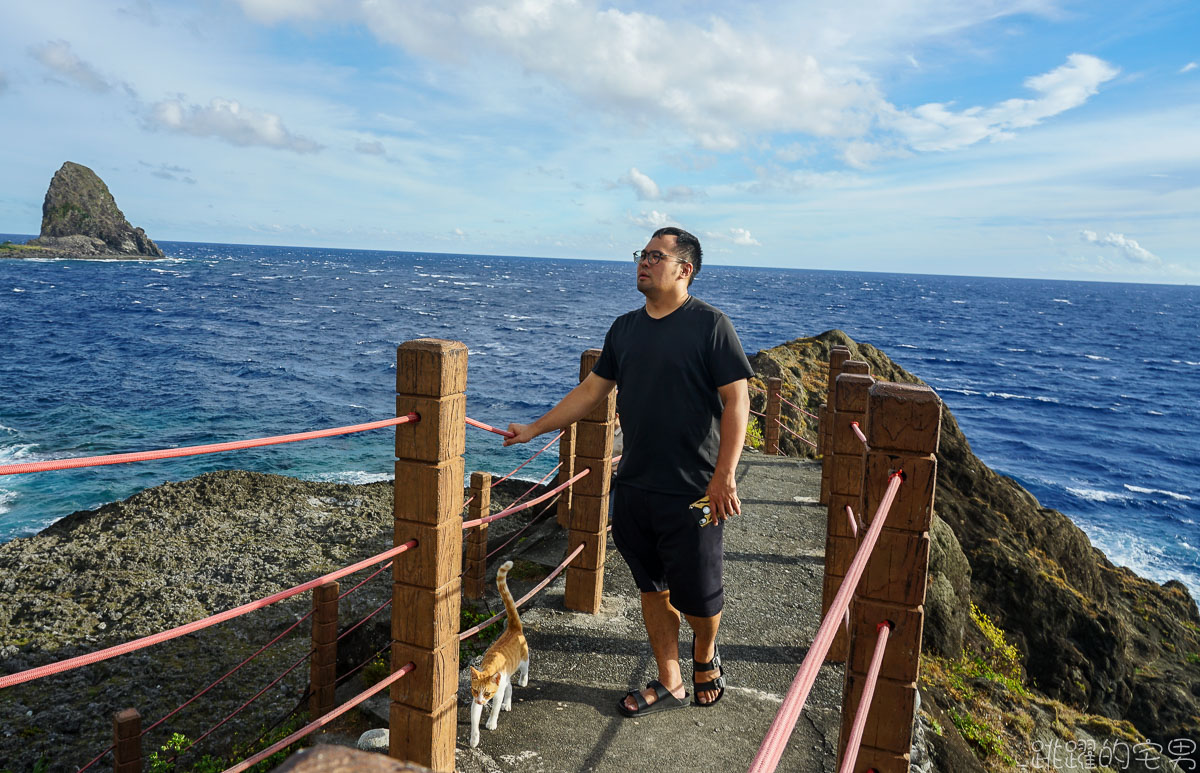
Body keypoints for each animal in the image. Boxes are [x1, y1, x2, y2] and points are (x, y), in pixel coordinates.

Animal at [465, 561, 528, 748]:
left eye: (487, 693)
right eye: (475, 690)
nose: (481, 700)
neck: (490, 667)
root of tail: (513, 628)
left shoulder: (495, 694)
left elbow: (494, 710)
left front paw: (491, 723)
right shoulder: (475, 700)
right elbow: (474, 720)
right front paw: (474, 739)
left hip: (524, 659)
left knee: (524, 671)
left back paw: (523, 681)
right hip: (506, 678)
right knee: (509, 687)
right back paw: (507, 703)